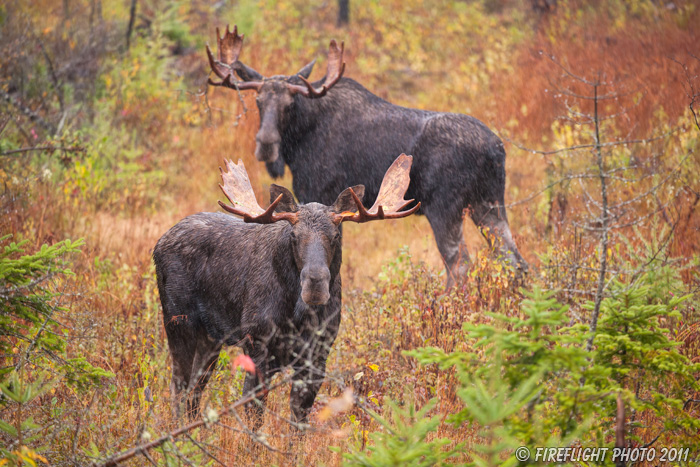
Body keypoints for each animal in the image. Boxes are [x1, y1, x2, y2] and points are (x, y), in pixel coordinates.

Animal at [154, 154, 416, 424]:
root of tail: (160, 242)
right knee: (178, 384)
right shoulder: (257, 344)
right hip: (178, 322)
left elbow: (299, 416)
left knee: (195, 388)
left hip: (211, 338)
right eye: (294, 236)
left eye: (336, 235)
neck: (297, 316)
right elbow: (254, 412)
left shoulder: (317, 355)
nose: (315, 283)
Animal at [205, 27, 528, 288]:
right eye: (258, 101)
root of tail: (497, 149)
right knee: (515, 261)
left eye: (289, 104)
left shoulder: (317, 193)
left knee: (459, 266)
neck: (300, 140)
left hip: (445, 207)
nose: (265, 143)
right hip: (488, 203)